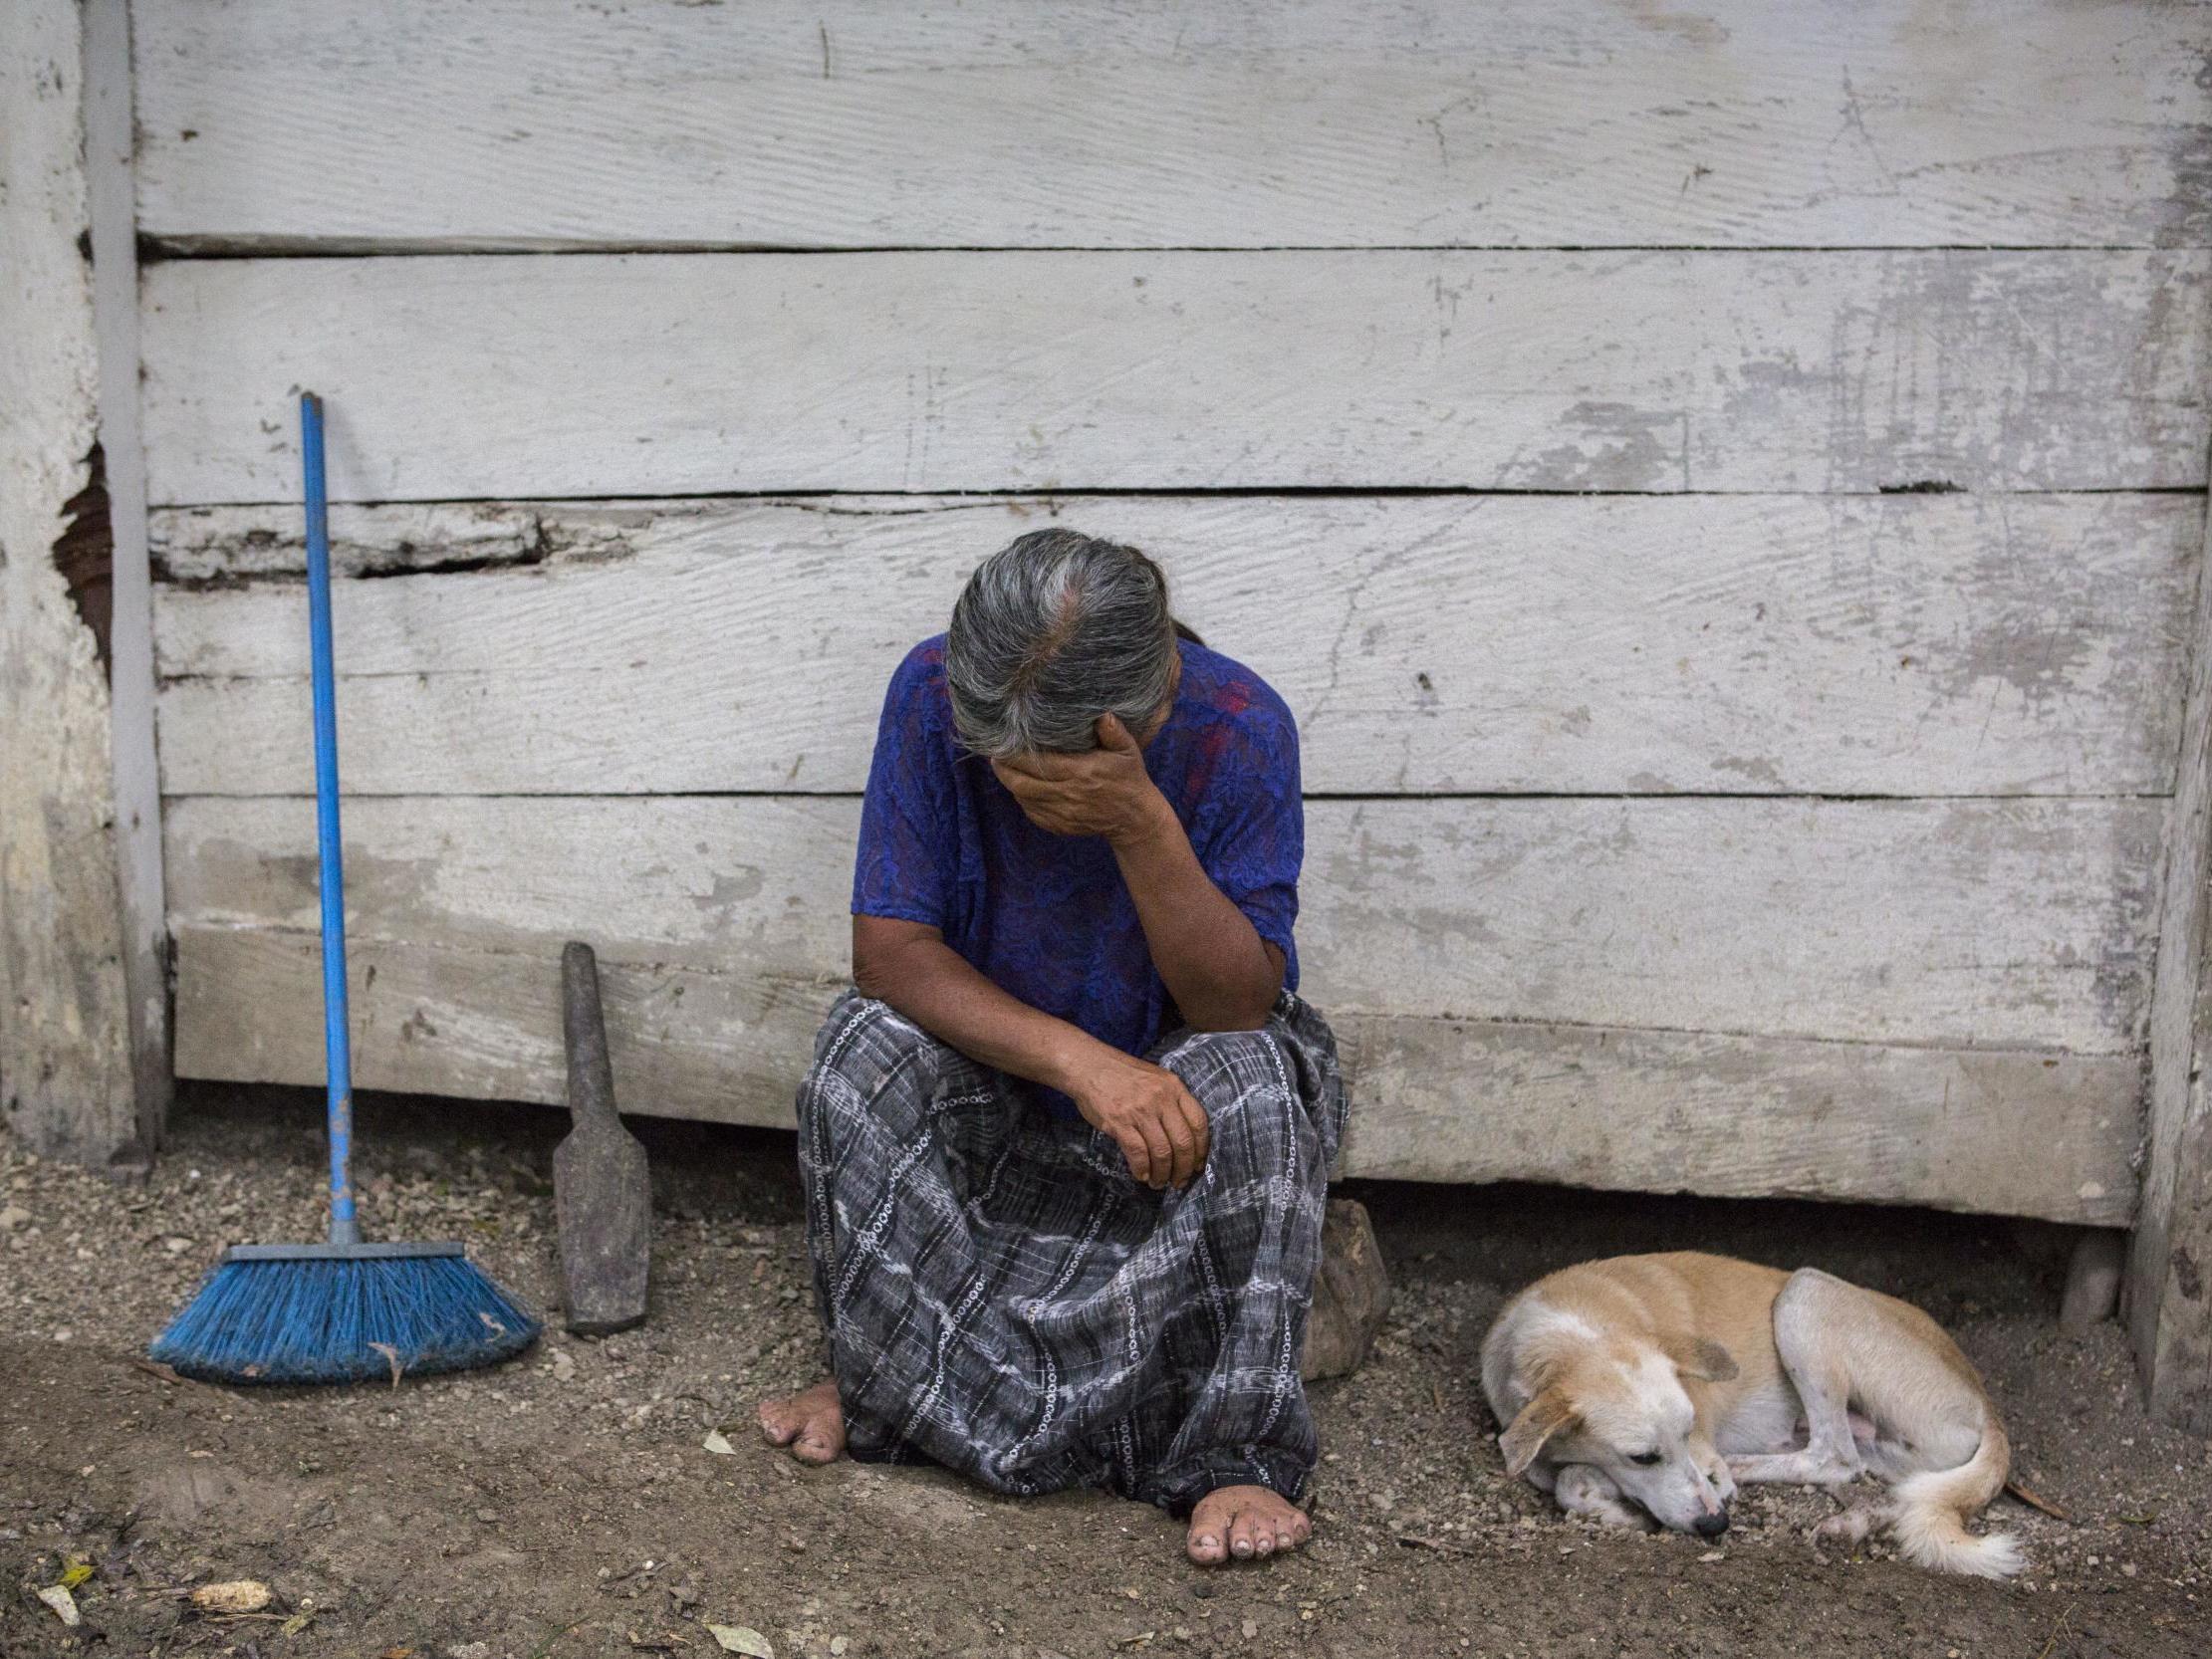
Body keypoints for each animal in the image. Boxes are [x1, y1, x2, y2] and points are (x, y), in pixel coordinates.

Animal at [1477, 1256, 2026, 1574]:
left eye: (1689, 1430)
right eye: (1642, 1457)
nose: (1716, 1525)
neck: (1575, 1332)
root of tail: (1986, 1403)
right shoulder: (1527, 1437)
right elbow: (1561, 1479)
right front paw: (1606, 1499)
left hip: (1805, 1295)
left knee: (1834, 1456)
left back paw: (1745, 1467)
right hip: (1895, 1455)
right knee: (1895, 1489)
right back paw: (1850, 1524)